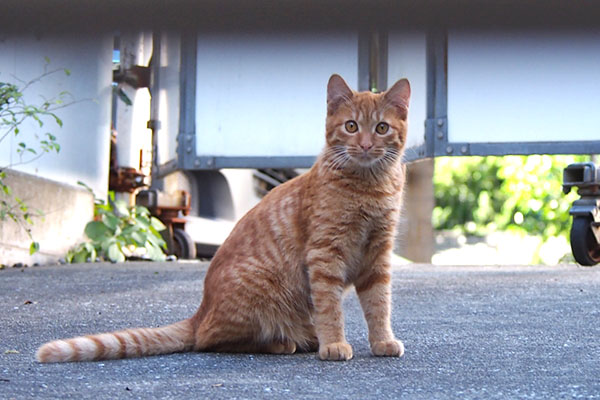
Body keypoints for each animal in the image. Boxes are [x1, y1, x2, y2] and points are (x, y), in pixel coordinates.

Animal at [37, 72, 410, 362]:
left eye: (380, 128)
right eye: (351, 126)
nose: (365, 145)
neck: (369, 186)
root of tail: (200, 311)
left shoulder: (378, 256)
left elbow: (379, 304)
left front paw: (382, 341)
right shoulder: (325, 255)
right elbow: (330, 307)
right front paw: (334, 344)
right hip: (260, 291)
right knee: (210, 340)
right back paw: (285, 342)